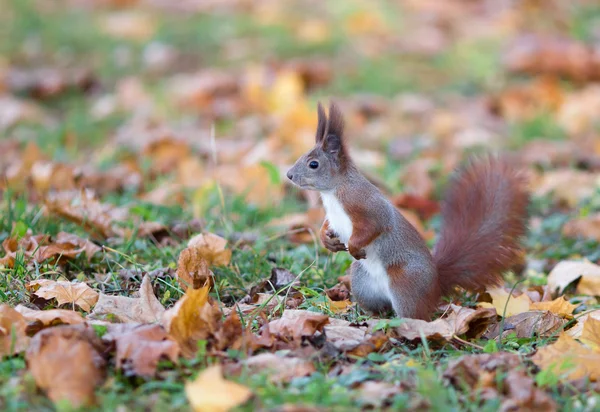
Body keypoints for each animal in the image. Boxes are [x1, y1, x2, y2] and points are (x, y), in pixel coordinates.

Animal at [288, 102, 528, 318]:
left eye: (313, 164)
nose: (289, 175)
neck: (333, 191)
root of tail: (436, 285)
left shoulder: (365, 204)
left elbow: (375, 225)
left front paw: (354, 246)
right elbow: (327, 225)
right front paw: (326, 240)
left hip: (405, 284)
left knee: (416, 316)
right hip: (361, 282)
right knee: (379, 307)